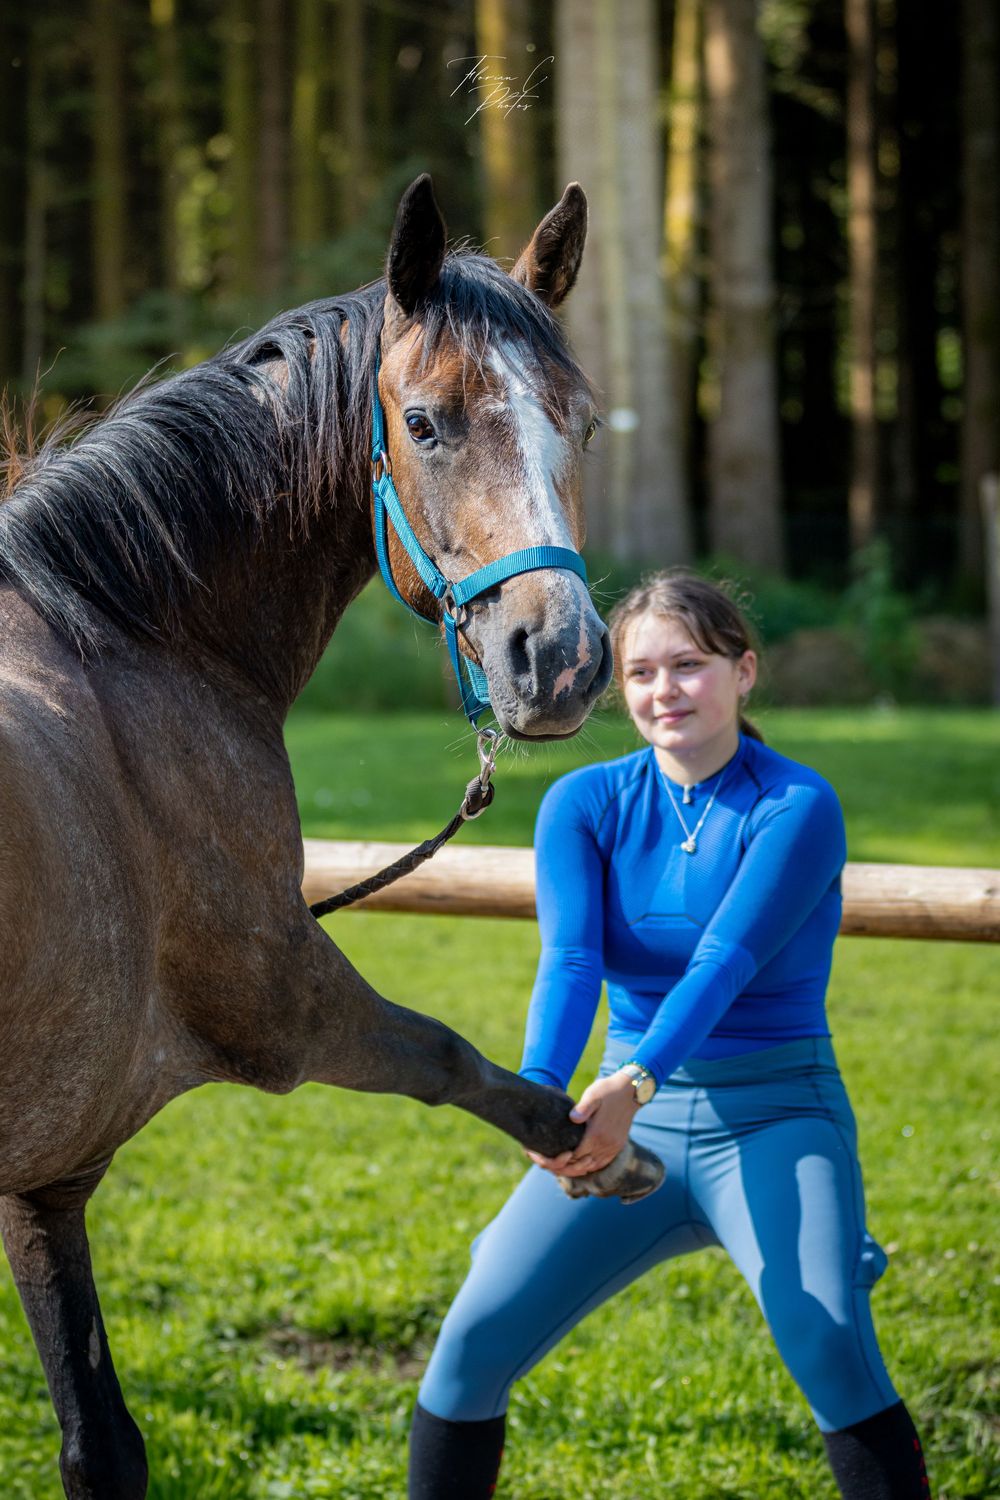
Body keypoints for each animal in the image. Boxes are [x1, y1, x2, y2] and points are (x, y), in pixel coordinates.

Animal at [0, 175, 661, 1499]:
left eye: (579, 422)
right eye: (425, 421)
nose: (561, 661)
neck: (118, 644)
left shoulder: (45, 1174)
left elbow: (100, 1443)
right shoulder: (280, 997)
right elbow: (456, 1061)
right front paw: (595, 1151)